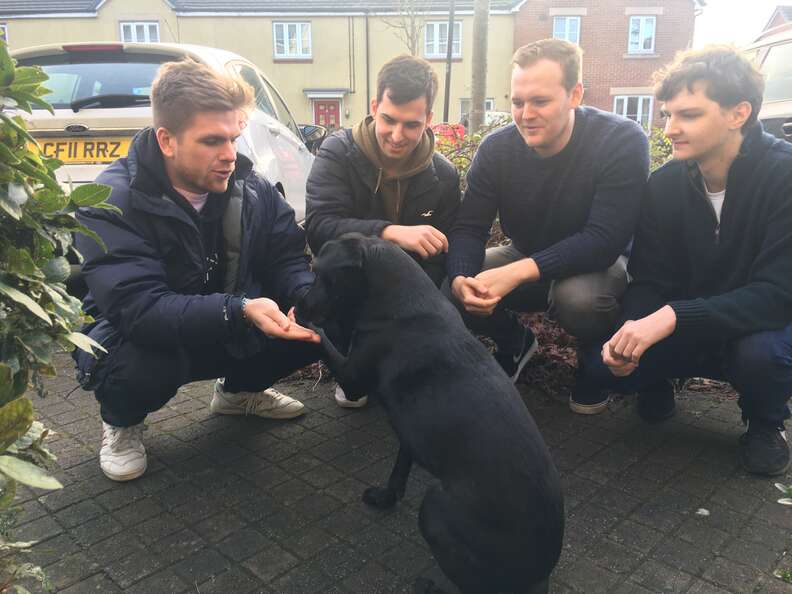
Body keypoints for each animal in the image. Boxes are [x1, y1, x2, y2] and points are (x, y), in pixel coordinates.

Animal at [296, 235, 564, 592]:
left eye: (322, 274)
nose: (299, 304)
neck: (402, 304)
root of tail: (539, 574)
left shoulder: (352, 377)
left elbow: (321, 339)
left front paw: (299, 322)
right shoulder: (410, 428)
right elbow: (400, 466)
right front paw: (387, 496)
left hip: (434, 508)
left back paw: (430, 586)